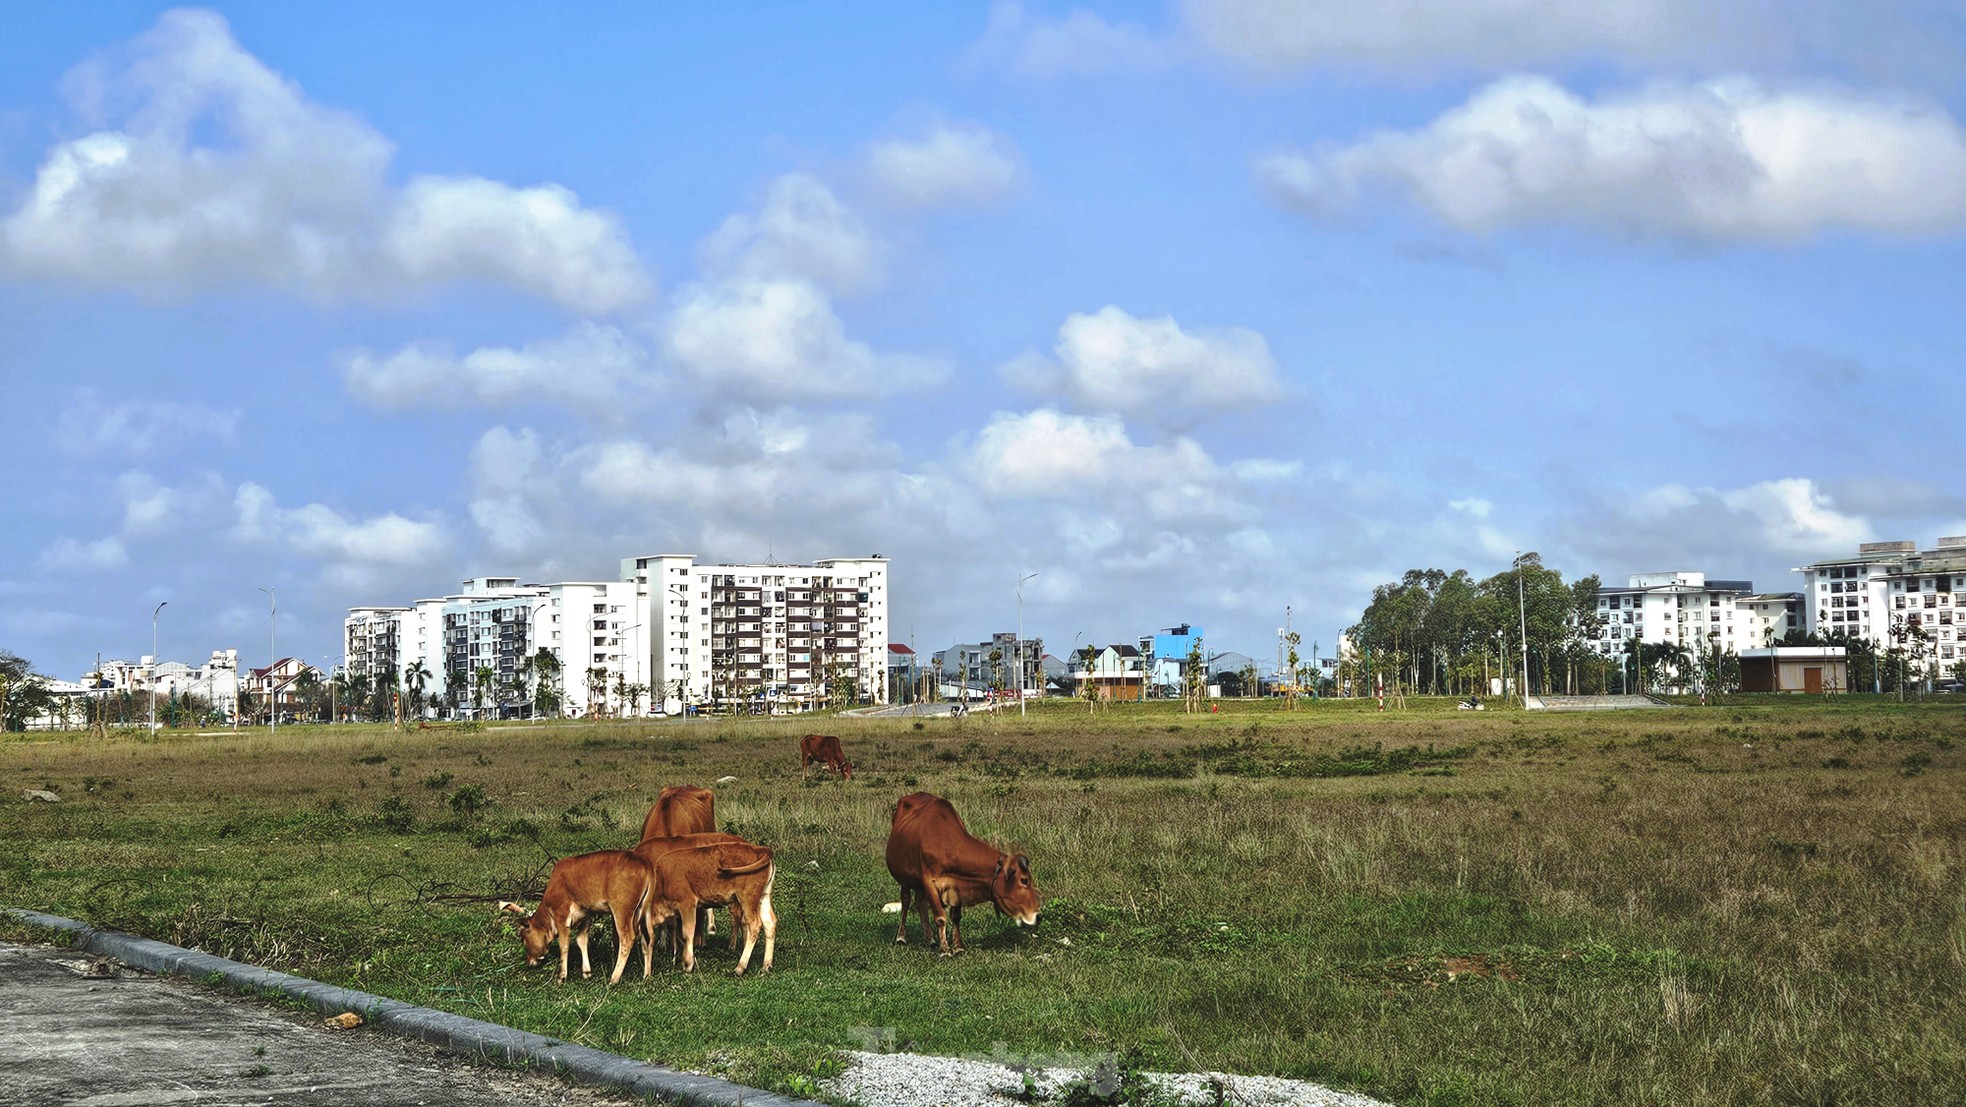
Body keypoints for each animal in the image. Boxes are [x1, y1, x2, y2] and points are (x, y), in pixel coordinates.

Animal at [503, 853, 656, 983]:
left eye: (523, 939)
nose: (529, 962)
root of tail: (642, 861)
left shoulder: (562, 914)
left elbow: (564, 945)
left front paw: (562, 976)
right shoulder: (587, 914)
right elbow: (581, 940)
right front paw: (587, 972)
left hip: (621, 910)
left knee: (627, 938)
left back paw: (614, 978)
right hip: (645, 910)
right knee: (649, 937)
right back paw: (647, 975)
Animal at [633, 845, 778, 975]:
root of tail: (760, 849)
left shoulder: (688, 904)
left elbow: (687, 933)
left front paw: (688, 964)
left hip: (747, 899)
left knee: (755, 924)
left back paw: (740, 967)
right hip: (763, 897)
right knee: (769, 923)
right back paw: (766, 966)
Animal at [888, 794, 1045, 955]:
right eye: (1024, 880)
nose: (1038, 916)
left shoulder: (955, 886)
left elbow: (956, 917)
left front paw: (958, 947)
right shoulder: (929, 882)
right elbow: (940, 918)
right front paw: (945, 950)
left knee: (920, 903)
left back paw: (930, 939)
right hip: (904, 877)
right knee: (906, 901)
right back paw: (901, 937)